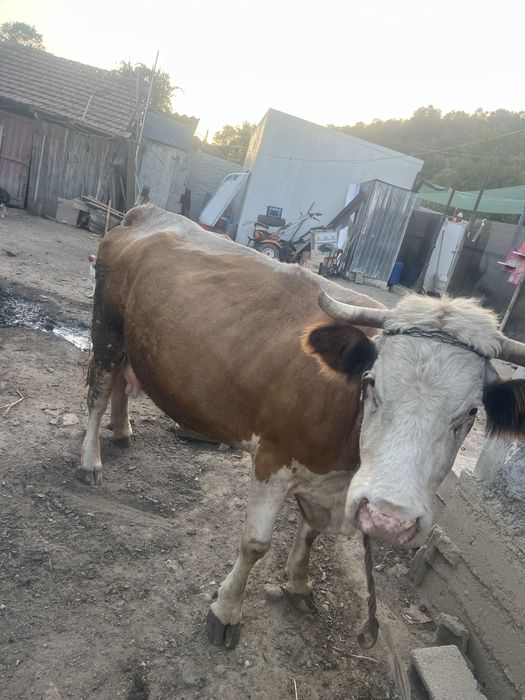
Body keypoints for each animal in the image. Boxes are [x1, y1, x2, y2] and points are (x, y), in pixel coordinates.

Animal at [80, 205, 525, 648]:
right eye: (371, 383)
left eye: (471, 412)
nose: (389, 519)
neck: (345, 458)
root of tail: (147, 213)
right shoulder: (272, 459)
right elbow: (255, 544)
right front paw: (226, 611)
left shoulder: (325, 483)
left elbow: (311, 533)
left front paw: (298, 584)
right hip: (107, 329)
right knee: (99, 392)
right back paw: (90, 462)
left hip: (135, 340)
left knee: (122, 382)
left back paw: (123, 430)